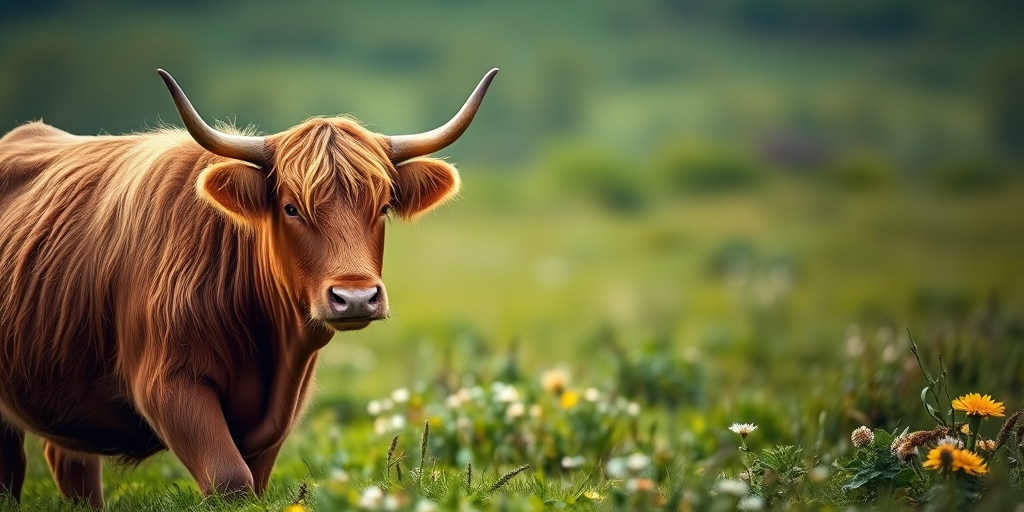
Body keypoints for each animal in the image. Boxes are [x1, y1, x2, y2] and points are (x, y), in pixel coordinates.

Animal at [0, 67, 497, 507]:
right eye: (291, 208)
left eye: (382, 206)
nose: (356, 297)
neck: (265, 342)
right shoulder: (167, 383)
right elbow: (229, 479)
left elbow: (252, 484)